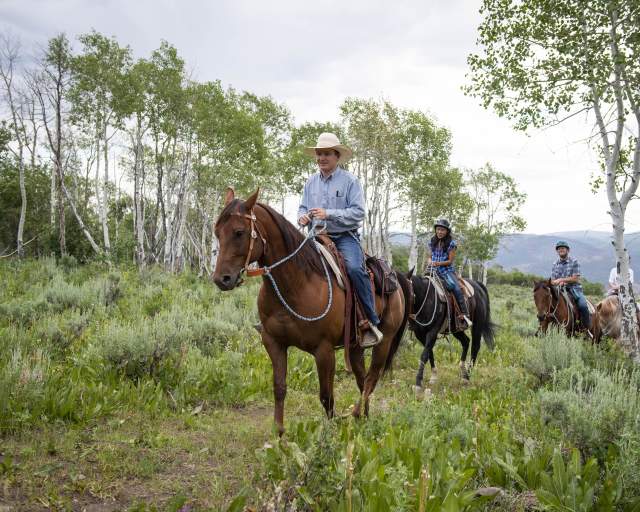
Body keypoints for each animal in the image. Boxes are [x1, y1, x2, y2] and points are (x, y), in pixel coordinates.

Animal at [212, 189, 408, 436]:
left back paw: (356, 414)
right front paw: (279, 433)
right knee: (362, 380)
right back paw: (364, 418)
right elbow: (279, 387)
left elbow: (326, 396)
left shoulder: (324, 350)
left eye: (239, 232)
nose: (221, 279)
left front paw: (330, 433)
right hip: (355, 346)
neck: (296, 284)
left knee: (372, 379)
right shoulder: (274, 342)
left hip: (385, 340)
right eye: (217, 232)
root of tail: (396, 277)